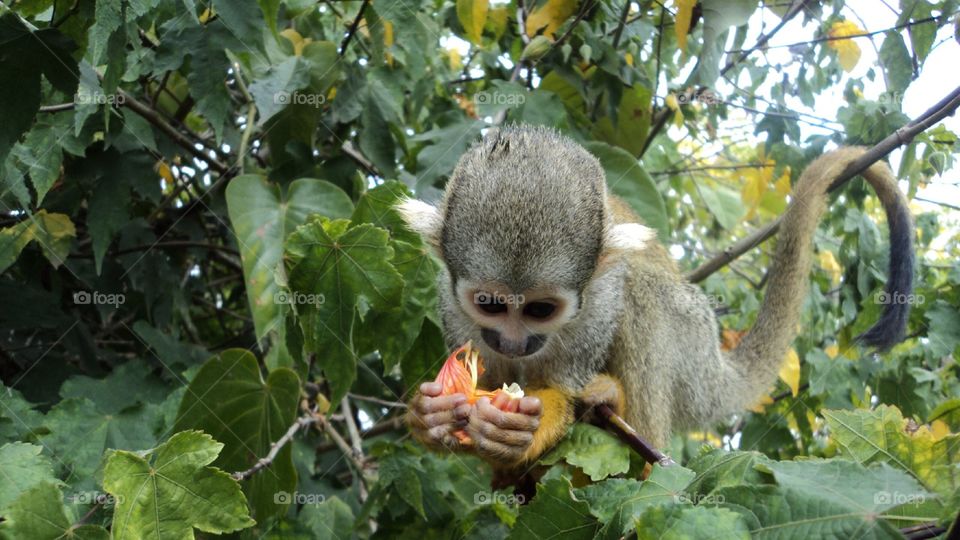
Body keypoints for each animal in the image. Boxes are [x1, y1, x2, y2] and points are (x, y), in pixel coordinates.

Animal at [399, 125, 913, 472]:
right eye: (489, 304)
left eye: (541, 310)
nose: (514, 342)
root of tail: (713, 368)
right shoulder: (451, 302)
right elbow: (484, 375)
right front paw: (430, 418)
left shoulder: (599, 299)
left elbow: (570, 374)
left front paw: (528, 427)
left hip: (692, 339)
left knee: (643, 293)